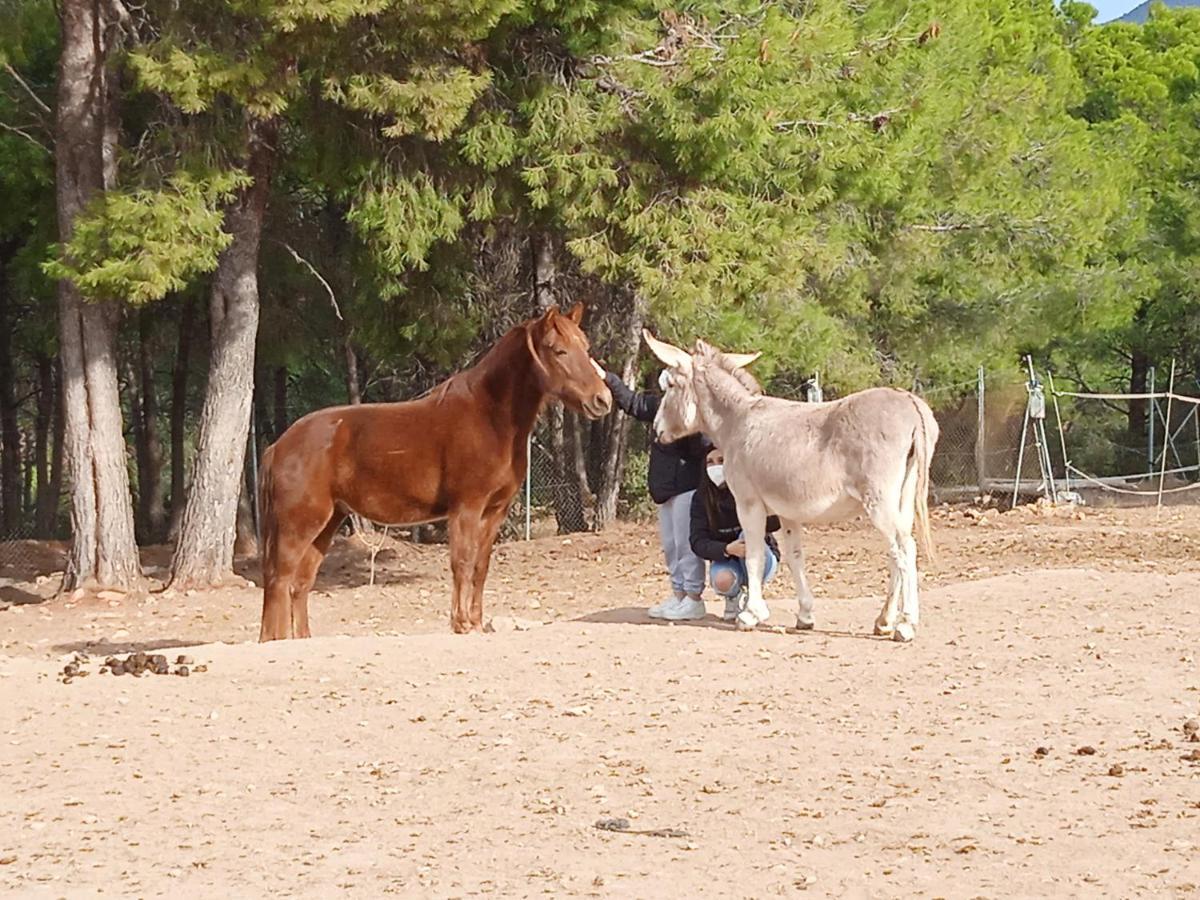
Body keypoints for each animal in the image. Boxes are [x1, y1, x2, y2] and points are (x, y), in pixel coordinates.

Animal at [253, 304, 609, 643]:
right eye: (559, 350)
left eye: (585, 346)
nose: (602, 399)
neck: (490, 418)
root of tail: (279, 445)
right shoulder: (466, 508)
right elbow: (462, 562)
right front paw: (462, 624)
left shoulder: (495, 511)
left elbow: (481, 565)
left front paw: (476, 622)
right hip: (299, 525)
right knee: (280, 580)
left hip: (328, 522)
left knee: (300, 583)